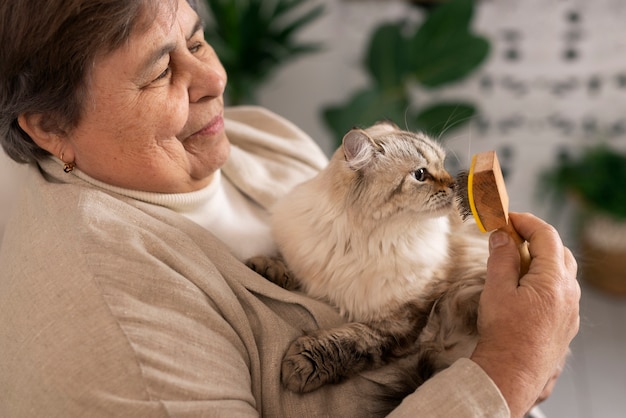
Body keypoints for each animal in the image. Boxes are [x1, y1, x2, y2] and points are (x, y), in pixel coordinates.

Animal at [247, 121, 488, 412]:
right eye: (420, 174)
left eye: (442, 164)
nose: (454, 184)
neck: (359, 241)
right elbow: (287, 263)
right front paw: (265, 267)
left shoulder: (402, 317)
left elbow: (349, 341)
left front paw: (300, 365)